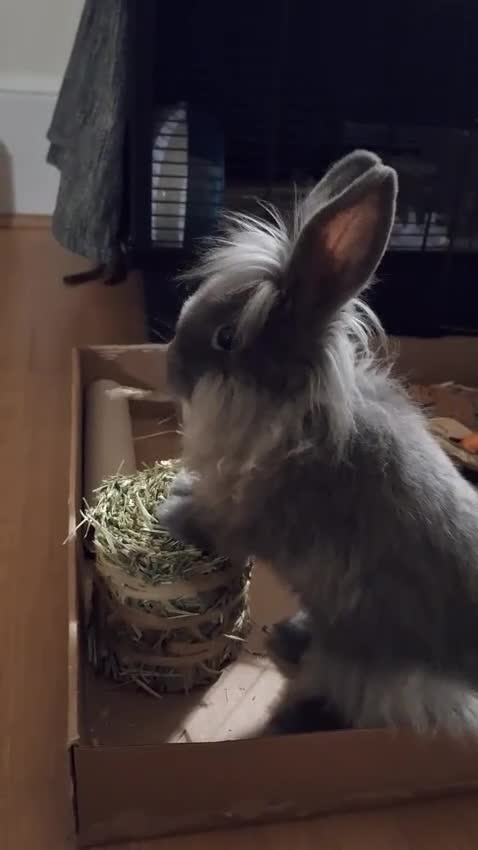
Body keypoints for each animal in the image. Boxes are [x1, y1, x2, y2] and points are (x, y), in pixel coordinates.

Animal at [158, 148, 478, 736]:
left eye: (227, 338)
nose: (171, 368)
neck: (291, 414)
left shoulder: (248, 516)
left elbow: (212, 526)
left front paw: (172, 511)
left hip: (379, 673)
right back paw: (288, 636)